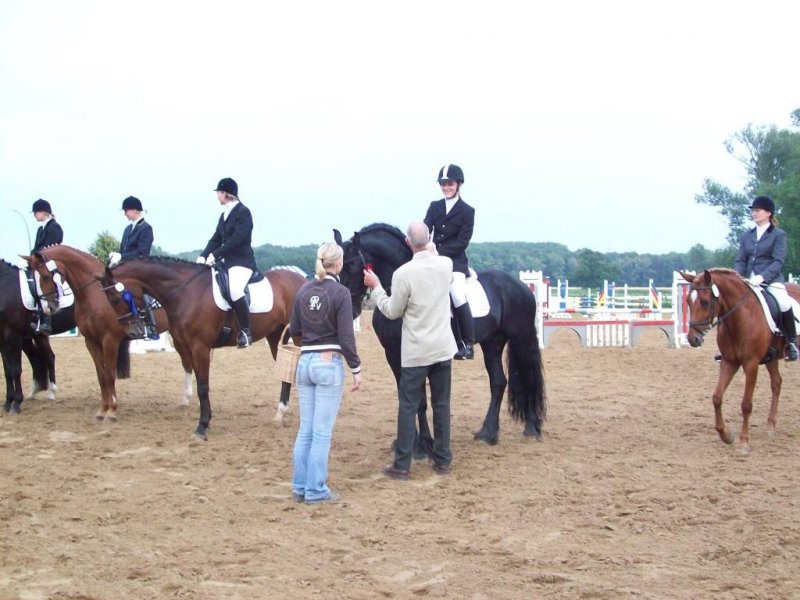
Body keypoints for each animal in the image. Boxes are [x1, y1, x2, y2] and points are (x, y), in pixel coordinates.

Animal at [0, 258, 66, 413]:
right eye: (46, 277)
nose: (54, 304)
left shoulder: (14, 336)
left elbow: (15, 369)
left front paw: (16, 403)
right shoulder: (2, 339)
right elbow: (7, 370)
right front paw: (8, 402)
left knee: (49, 357)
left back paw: (51, 392)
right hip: (36, 336)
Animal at [27, 245, 174, 421]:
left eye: (45, 276)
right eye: (33, 277)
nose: (49, 307)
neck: (96, 295)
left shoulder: (110, 340)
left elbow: (110, 374)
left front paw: (112, 411)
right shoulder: (91, 341)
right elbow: (101, 375)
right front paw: (103, 410)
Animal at [104, 256, 307, 439]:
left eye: (115, 298)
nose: (132, 331)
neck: (186, 291)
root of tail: (304, 280)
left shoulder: (200, 347)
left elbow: (202, 386)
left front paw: (202, 426)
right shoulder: (186, 345)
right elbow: (194, 377)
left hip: (299, 338)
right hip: (275, 337)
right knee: (286, 375)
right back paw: (280, 414)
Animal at [334, 223, 546, 448]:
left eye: (351, 266)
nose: (349, 310)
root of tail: (521, 286)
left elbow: (419, 400)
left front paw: (423, 444)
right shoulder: (392, 354)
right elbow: (405, 396)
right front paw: (409, 442)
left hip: (521, 340)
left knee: (528, 377)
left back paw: (531, 428)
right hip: (492, 344)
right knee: (498, 383)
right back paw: (487, 433)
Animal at [680, 268, 800, 450]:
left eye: (705, 302)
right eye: (688, 301)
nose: (693, 339)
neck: (740, 317)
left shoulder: (751, 364)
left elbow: (746, 404)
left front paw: (744, 441)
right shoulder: (728, 362)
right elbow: (716, 398)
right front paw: (726, 435)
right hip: (772, 358)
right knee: (776, 383)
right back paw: (770, 426)